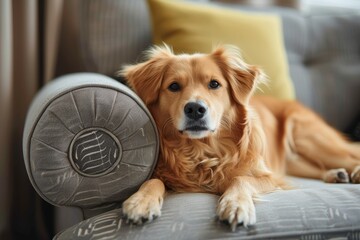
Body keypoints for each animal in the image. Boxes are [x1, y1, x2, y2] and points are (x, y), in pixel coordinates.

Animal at [120, 44, 360, 231]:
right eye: (173, 86)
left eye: (214, 84)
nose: (195, 109)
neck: (203, 151)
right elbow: (154, 180)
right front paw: (141, 201)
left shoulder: (269, 176)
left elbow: (241, 178)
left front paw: (235, 205)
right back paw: (336, 174)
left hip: (308, 137)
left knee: (350, 156)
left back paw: (352, 172)